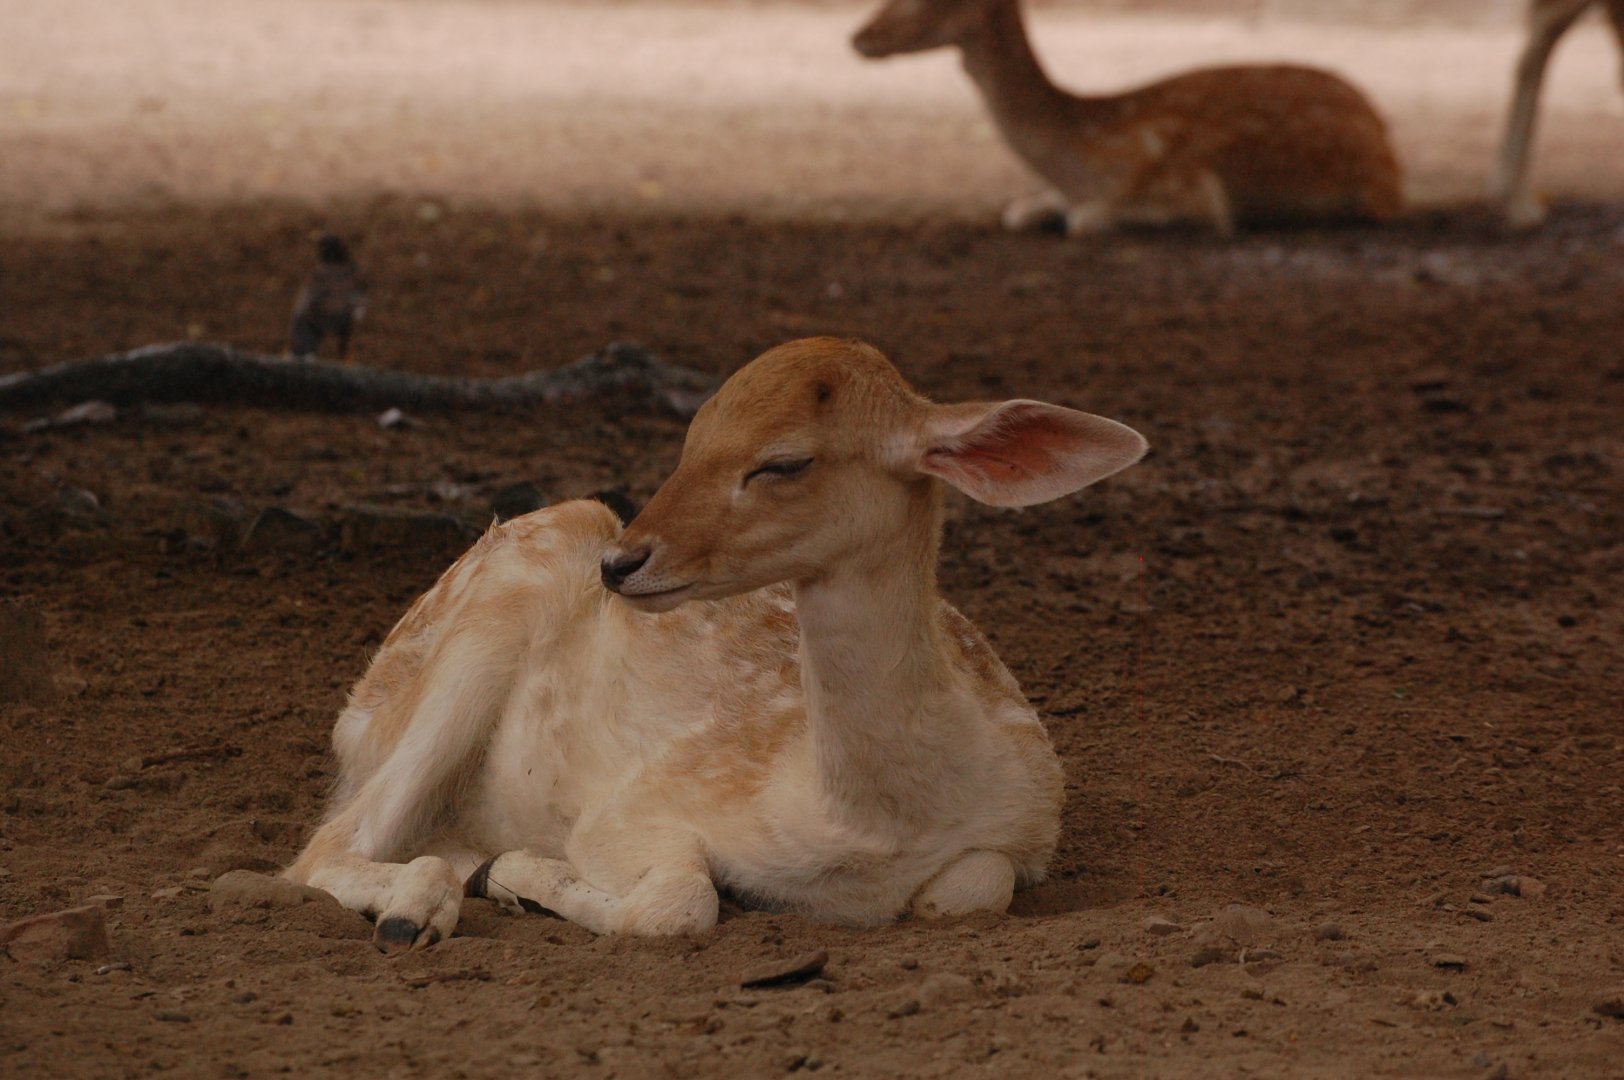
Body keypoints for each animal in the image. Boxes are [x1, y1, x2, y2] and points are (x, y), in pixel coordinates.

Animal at [282, 337, 1148, 950]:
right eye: (691, 437)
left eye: (785, 461)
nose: (622, 562)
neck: (871, 825)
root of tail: (353, 716)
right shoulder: (638, 800)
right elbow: (677, 902)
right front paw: (524, 874)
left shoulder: (1030, 827)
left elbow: (963, 892)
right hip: (472, 636)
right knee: (321, 848)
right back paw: (418, 908)